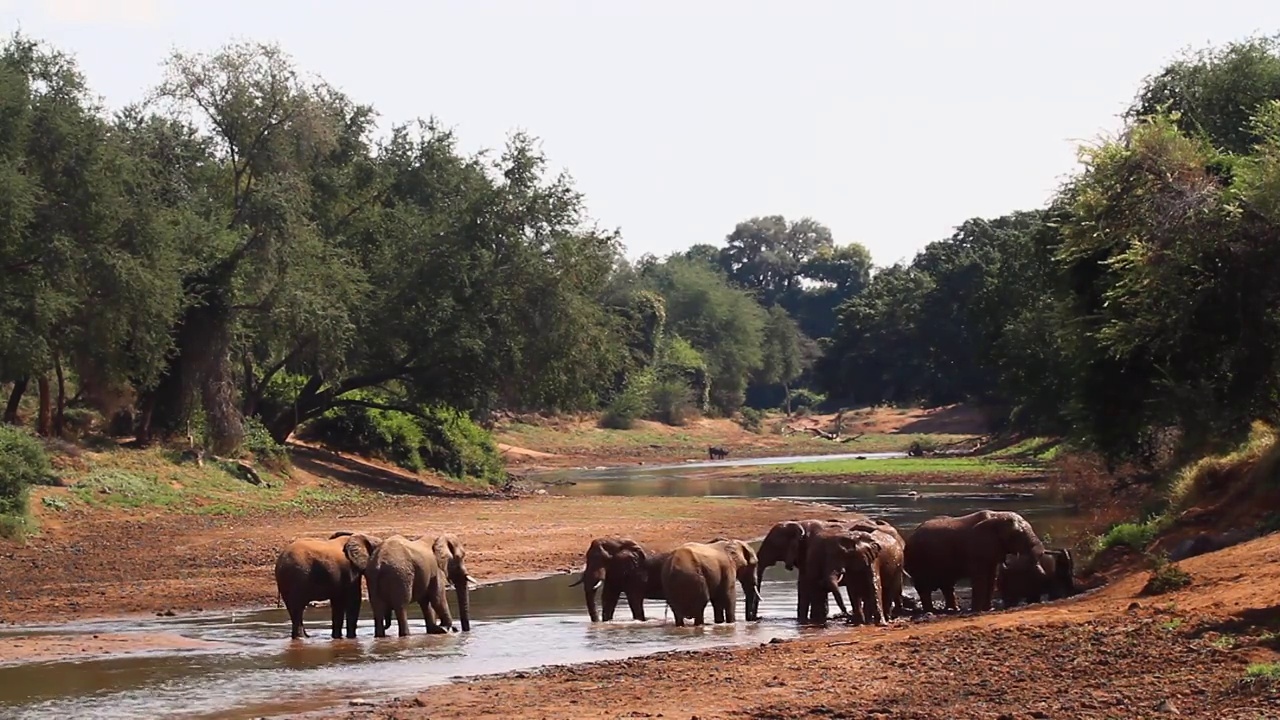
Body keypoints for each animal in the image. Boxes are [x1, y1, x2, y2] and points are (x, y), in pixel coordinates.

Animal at [906, 504, 1044, 609]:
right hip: (917, 560)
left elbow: (991, 578)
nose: (1042, 573)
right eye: (1017, 534)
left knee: (947, 585)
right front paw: (977, 610)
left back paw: (953, 609)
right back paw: (931, 611)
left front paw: (988, 609)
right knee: (924, 588)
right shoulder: (978, 548)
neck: (998, 516)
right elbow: (980, 578)